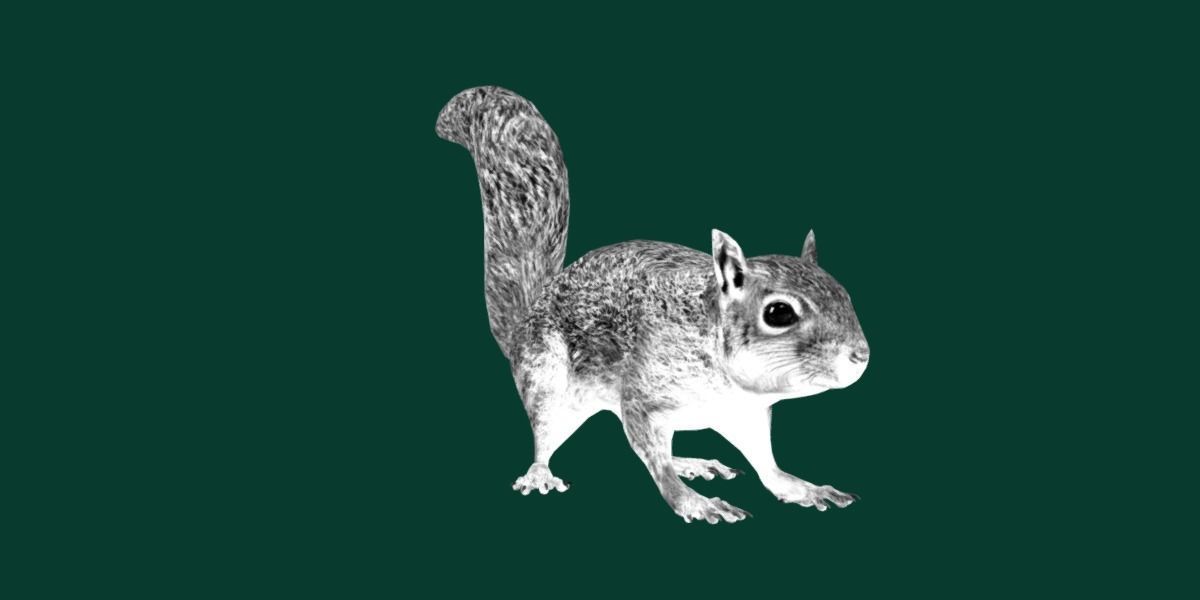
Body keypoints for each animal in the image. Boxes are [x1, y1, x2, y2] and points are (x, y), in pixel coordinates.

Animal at [436, 86, 870, 524]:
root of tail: (524, 322)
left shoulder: (745, 415)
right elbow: (654, 458)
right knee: (547, 435)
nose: (861, 355)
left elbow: (767, 466)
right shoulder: (643, 394)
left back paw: (691, 462)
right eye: (779, 313)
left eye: (845, 294)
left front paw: (802, 488)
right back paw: (542, 473)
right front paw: (694, 503)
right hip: (546, 380)